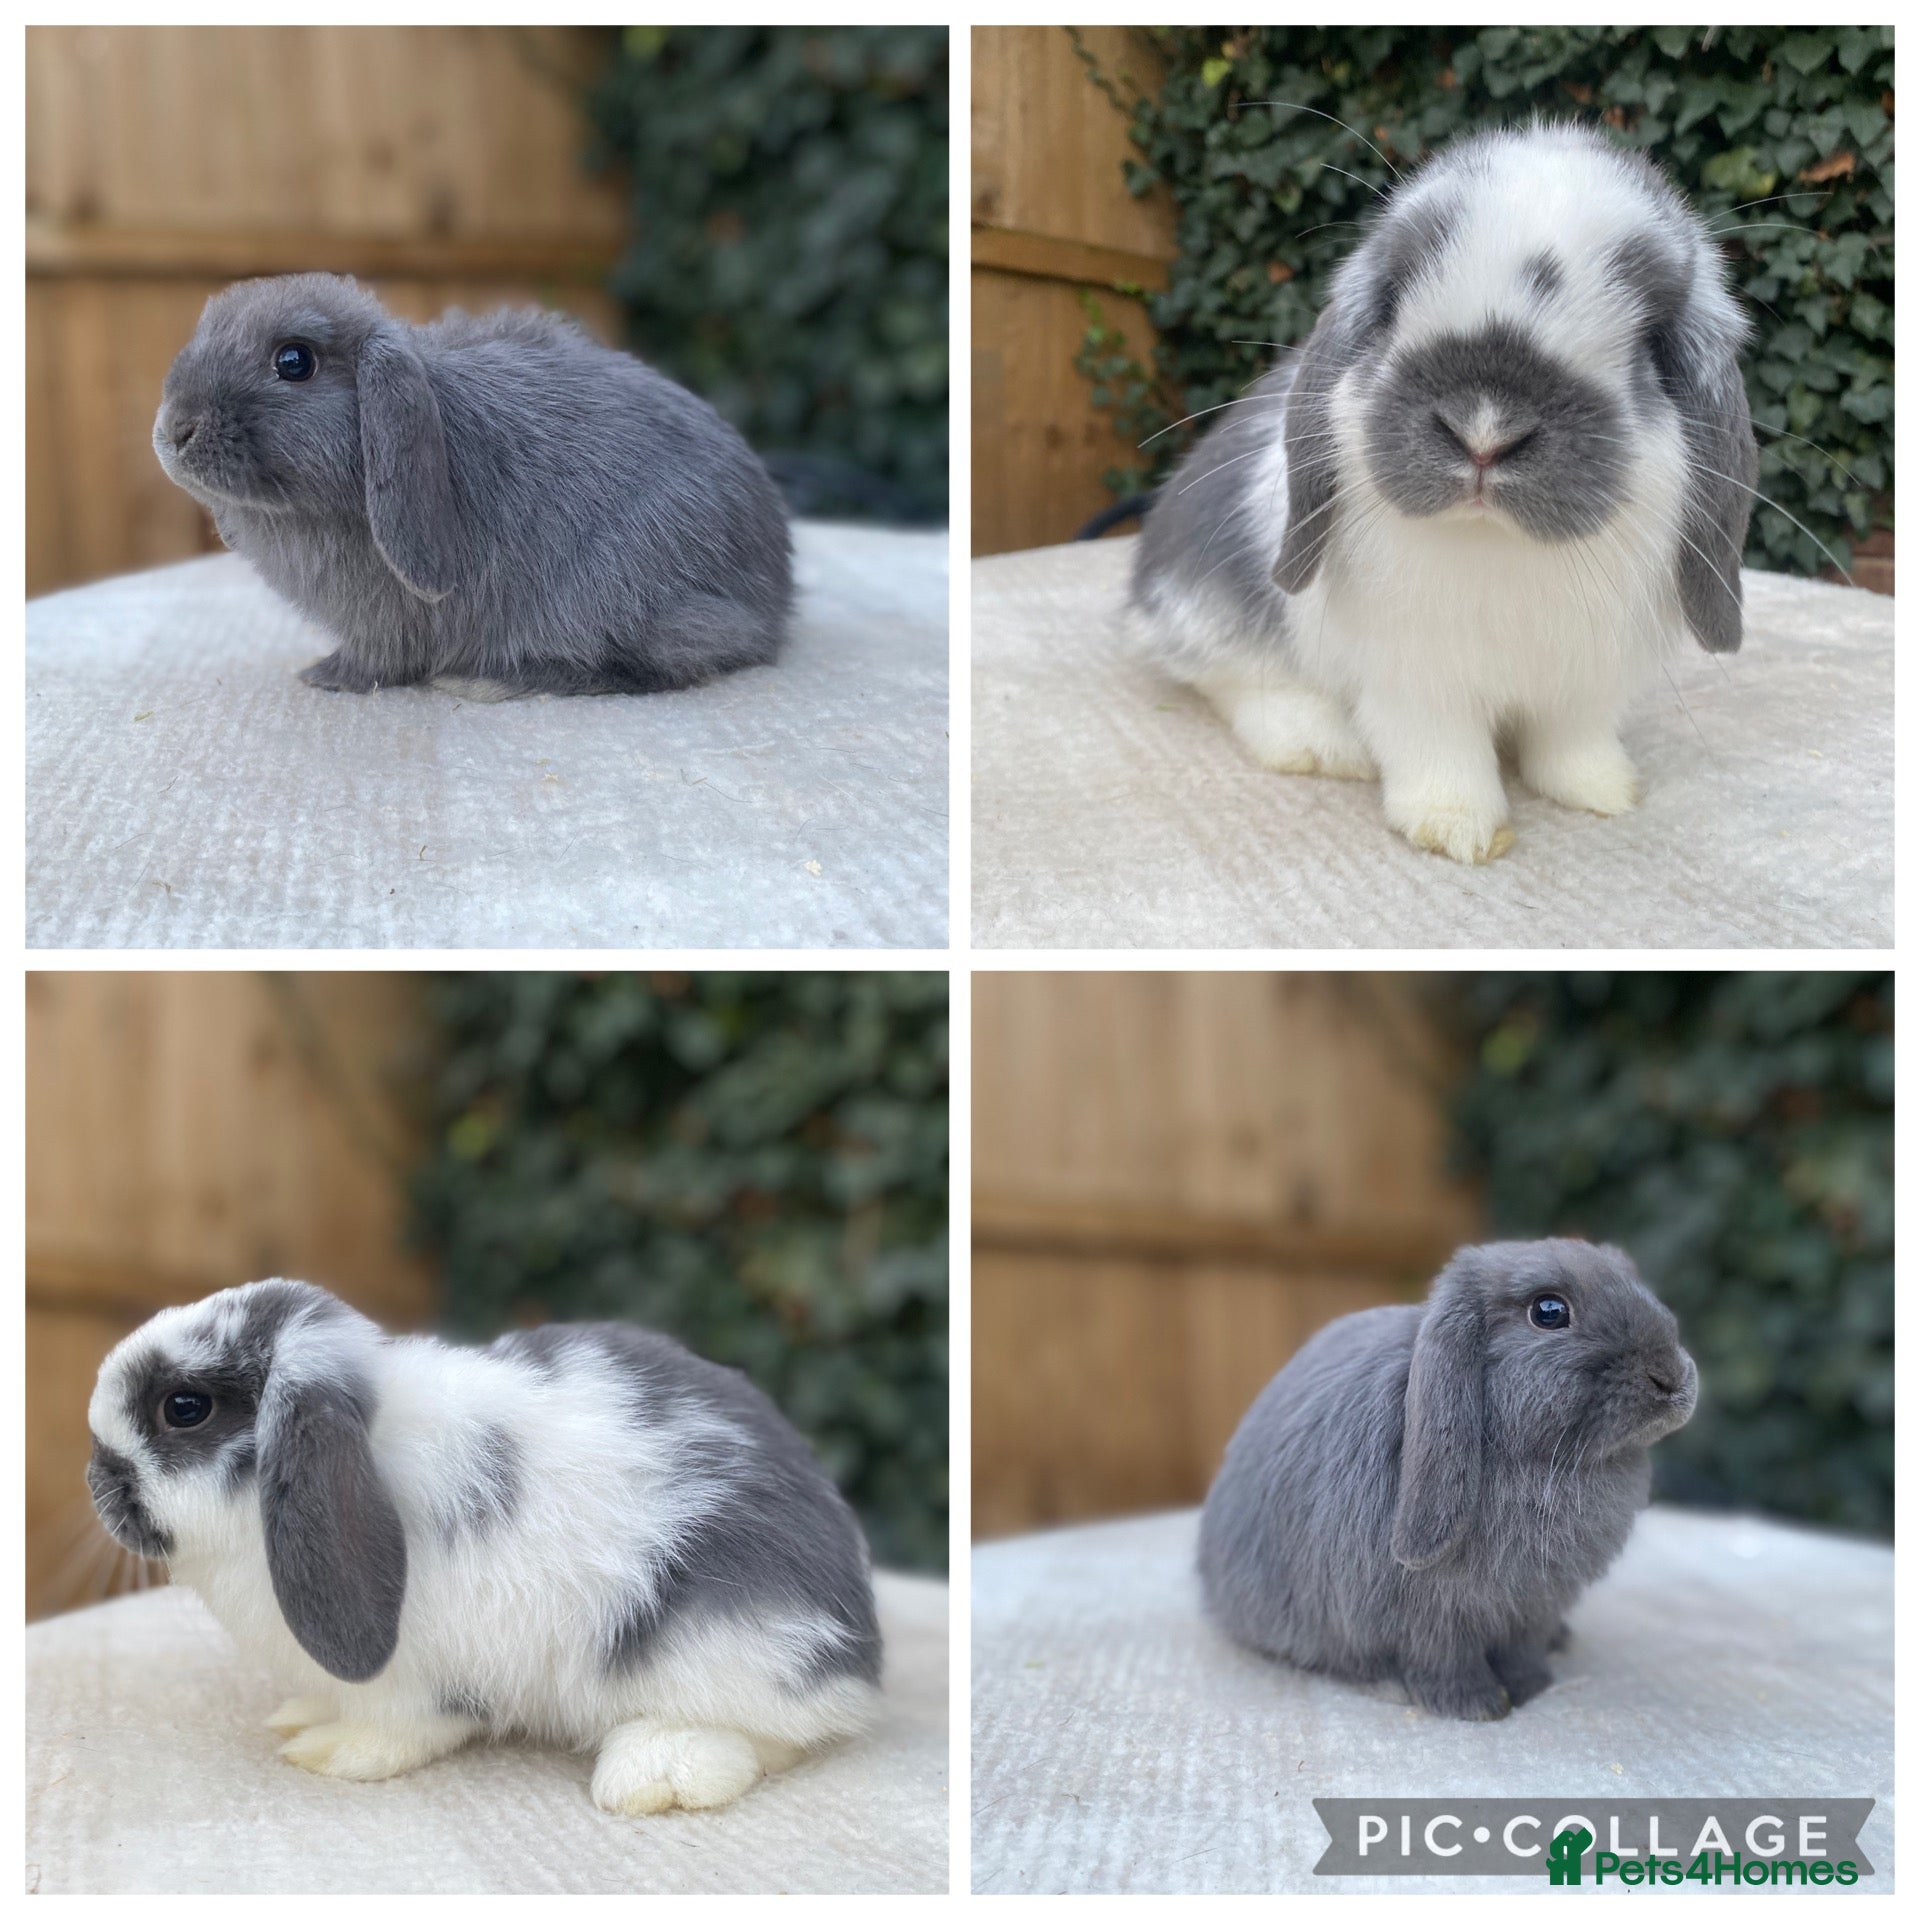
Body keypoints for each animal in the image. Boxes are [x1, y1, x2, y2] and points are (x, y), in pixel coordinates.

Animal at [85, 1279, 881, 1813]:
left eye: (184, 1408)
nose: (97, 1478)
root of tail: (863, 1651)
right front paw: (302, 1715)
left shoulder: (415, 1681)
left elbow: (400, 1728)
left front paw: (333, 1753)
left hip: (722, 1646)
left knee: (774, 1733)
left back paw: (653, 1773)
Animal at [152, 274, 794, 697]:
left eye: (293, 361)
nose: (175, 429)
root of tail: (774, 599)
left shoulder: (389, 625)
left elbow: (376, 661)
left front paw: (325, 677)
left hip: (629, 594)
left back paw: (495, 680)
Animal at [1128, 122, 1758, 864]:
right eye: (1392, 302)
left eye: (1651, 346)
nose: (1485, 432)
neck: (1495, 544)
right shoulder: (1417, 680)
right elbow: (1442, 753)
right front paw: (1459, 829)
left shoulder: (1585, 684)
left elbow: (1572, 741)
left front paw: (1603, 791)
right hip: (1211, 609)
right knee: (1229, 678)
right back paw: (1319, 744)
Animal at [1197, 1240, 1696, 1720]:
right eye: (1549, 1311)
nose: (1670, 1376)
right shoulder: (1428, 1617)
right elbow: (1443, 1659)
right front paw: (1477, 1705)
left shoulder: (1532, 1608)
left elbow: (1522, 1651)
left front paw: (1532, 1687)